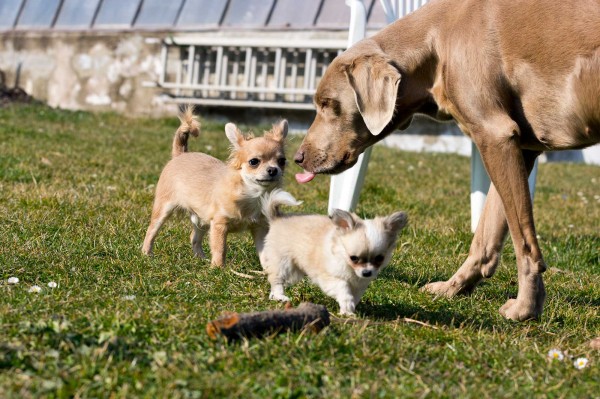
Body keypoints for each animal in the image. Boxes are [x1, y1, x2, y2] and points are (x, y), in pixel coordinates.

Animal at [143, 108, 288, 268]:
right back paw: (146, 253)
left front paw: (269, 270)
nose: (273, 170)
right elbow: (220, 248)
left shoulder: (260, 227)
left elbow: (266, 251)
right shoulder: (219, 224)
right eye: (254, 162)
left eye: (282, 161)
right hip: (164, 208)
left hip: (202, 218)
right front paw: (218, 268)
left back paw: (201, 259)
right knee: (151, 230)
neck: (252, 194)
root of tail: (180, 155)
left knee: (194, 237)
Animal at [258, 191, 408, 316]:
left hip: (296, 270)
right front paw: (347, 304)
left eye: (379, 258)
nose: (367, 273)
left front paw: (348, 310)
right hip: (283, 263)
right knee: (276, 279)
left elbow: (353, 296)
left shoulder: (359, 285)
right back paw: (279, 296)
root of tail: (277, 218)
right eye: (353, 258)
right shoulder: (330, 278)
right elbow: (343, 289)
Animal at [296, 0, 600, 322]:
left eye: (328, 104)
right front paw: (453, 288)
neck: (438, 39)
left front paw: (526, 308)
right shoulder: (519, 147)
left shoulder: (496, 136)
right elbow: (485, 236)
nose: (297, 157)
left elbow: (523, 240)